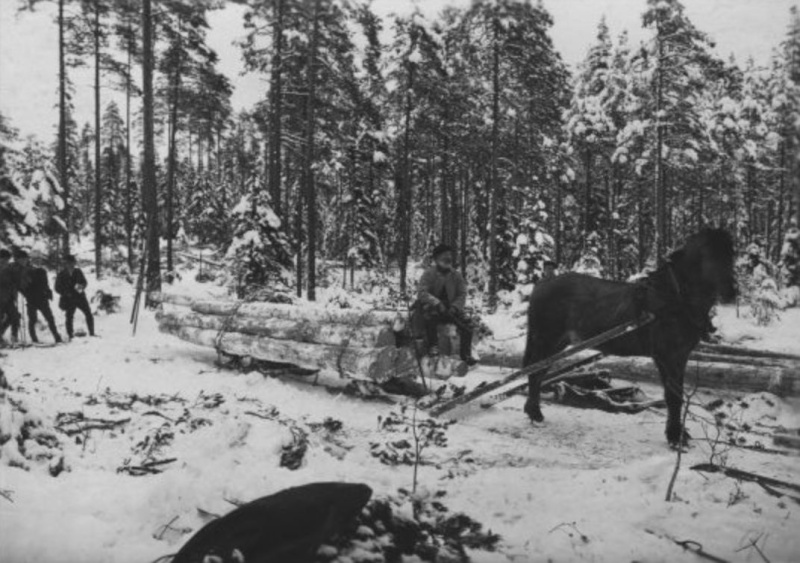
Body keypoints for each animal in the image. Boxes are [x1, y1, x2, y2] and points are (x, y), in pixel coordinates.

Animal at [524, 228, 736, 446]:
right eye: (707, 255)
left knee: (538, 372)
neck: (673, 299)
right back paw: (535, 413)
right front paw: (674, 436)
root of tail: (543, 282)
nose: (732, 292)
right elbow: (672, 396)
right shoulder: (666, 356)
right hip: (546, 340)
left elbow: (677, 393)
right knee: (535, 372)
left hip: (557, 343)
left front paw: (680, 434)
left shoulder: (680, 356)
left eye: (731, 255)